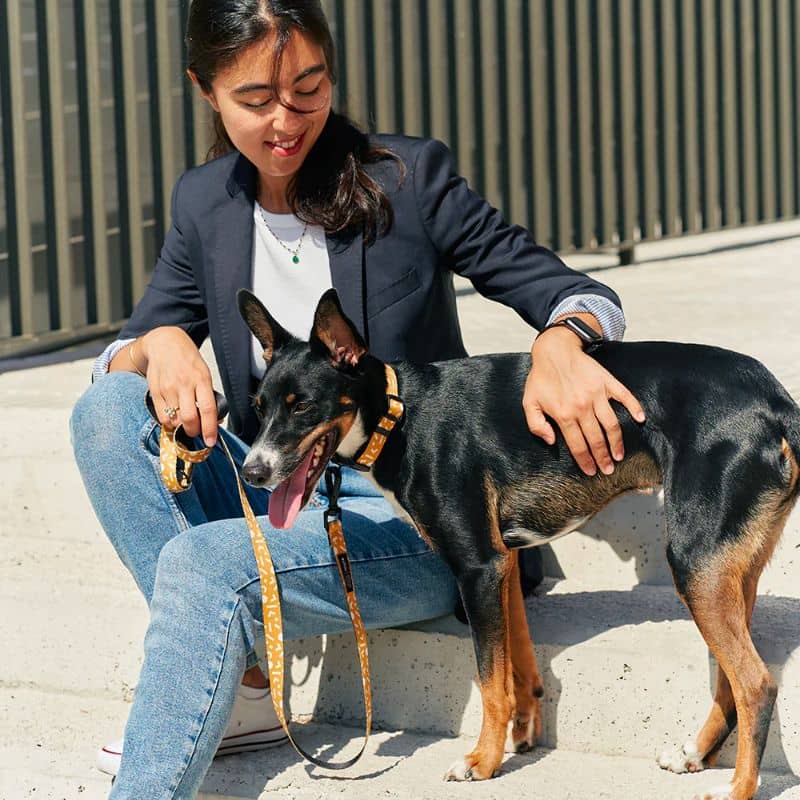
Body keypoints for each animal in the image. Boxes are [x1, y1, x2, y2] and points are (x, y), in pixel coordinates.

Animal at [238, 290, 800, 800]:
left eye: (303, 407)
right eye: (259, 409)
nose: (251, 472)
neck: (399, 415)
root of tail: (777, 403)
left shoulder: (476, 567)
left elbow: (489, 681)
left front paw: (481, 763)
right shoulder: (501, 562)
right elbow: (515, 667)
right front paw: (521, 731)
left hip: (695, 563)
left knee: (756, 684)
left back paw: (736, 789)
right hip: (728, 569)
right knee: (731, 679)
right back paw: (694, 755)